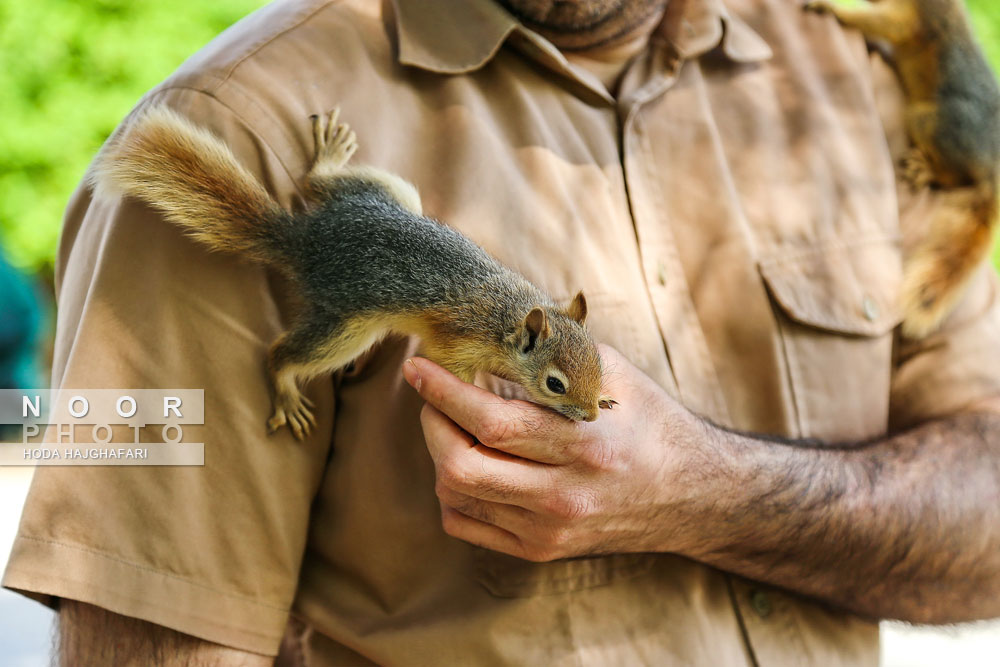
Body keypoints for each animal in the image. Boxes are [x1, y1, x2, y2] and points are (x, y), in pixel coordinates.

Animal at [94, 107, 612, 440]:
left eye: (599, 365)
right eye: (555, 384)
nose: (589, 416)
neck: (508, 317)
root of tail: (306, 241)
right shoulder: (455, 344)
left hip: (389, 194)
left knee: (318, 182)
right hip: (350, 324)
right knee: (282, 354)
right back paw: (285, 388)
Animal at [804, 0, 1000, 336]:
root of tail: (992, 165)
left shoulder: (916, 17)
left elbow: (889, 24)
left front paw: (835, 7)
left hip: (928, 121)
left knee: (954, 176)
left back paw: (927, 169)